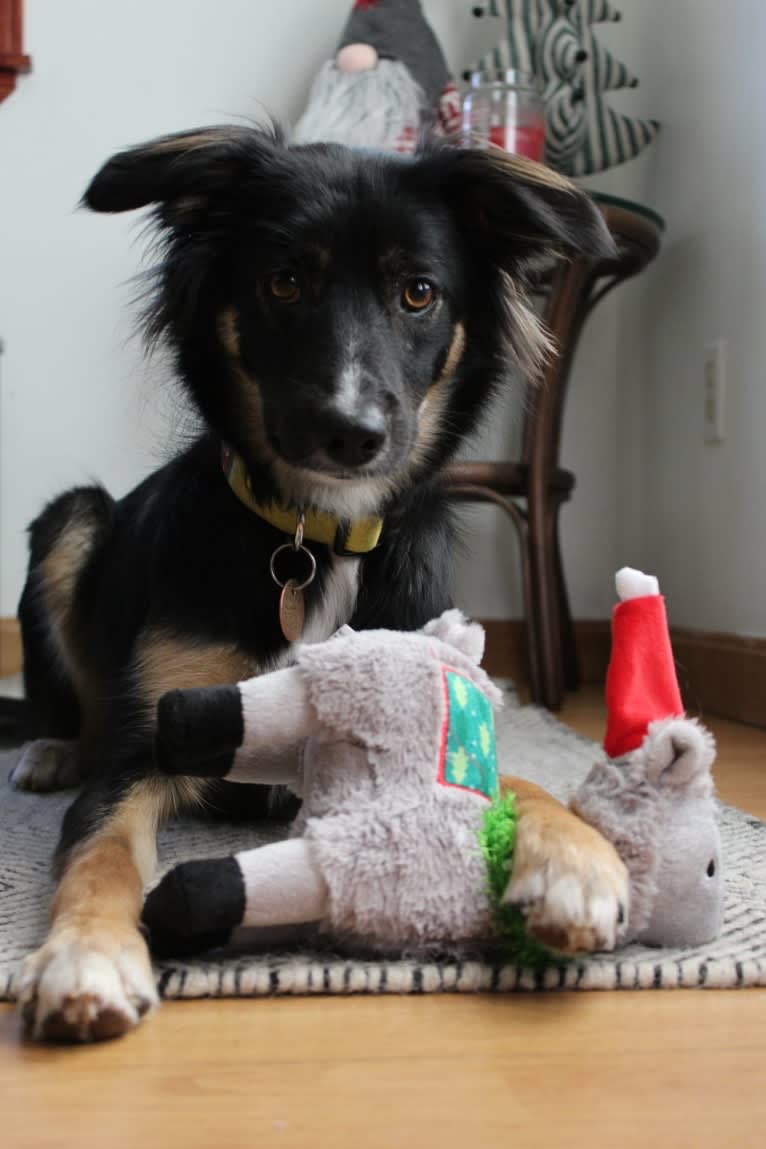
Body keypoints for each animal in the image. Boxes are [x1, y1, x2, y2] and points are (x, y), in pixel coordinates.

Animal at [13, 128, 629, 1043]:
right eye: (284, 280)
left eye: (418, 292)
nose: (353, 433)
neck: (319, 536)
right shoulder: (149, 740)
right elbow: (100, 849)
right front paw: (85, 953)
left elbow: (517, 774)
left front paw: (576, 857)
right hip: (73, 519)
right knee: (78, 702)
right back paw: (52, 746)